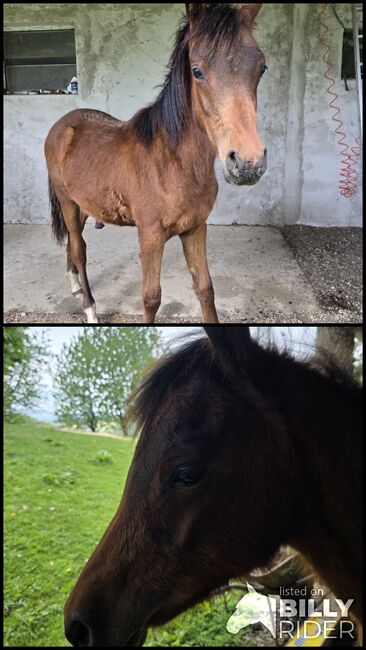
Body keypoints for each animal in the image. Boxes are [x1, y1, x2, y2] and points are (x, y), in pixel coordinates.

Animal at [45, 2, 266, 322]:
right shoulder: (151, 235)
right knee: (79, 248)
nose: (248, 163)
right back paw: (89, 308)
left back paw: (74, 286)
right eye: (197, 71)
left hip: (83, 204)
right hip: (68, 203)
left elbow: (205, 290)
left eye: (262, 68)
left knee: (72, 248)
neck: (172, 162)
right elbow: (151, 298)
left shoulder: (195, 229)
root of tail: (60, 126)